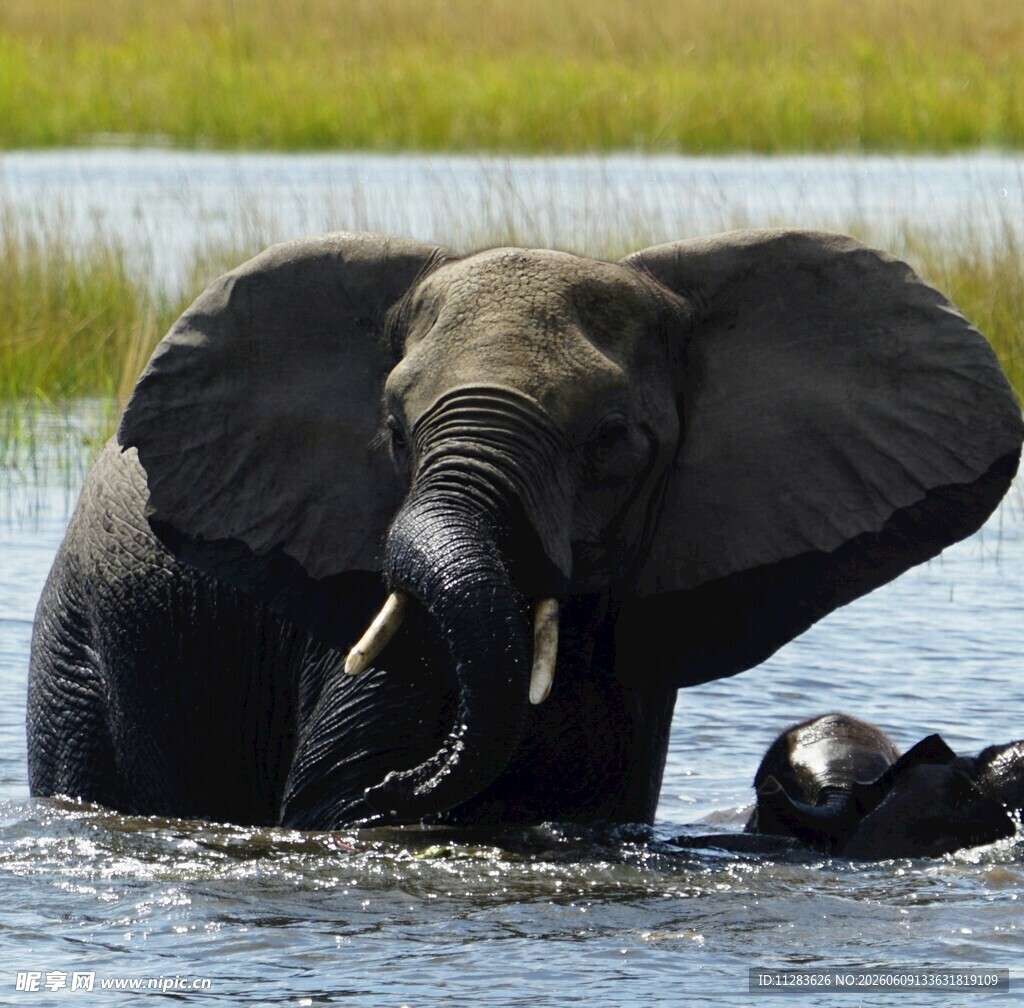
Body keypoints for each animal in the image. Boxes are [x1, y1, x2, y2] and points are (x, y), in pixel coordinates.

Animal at [27, 228, 1024, 831]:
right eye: (395, 430)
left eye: (613, 440)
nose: (400, 794)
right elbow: (338, 780)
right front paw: (373, 799)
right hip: (82, 651)